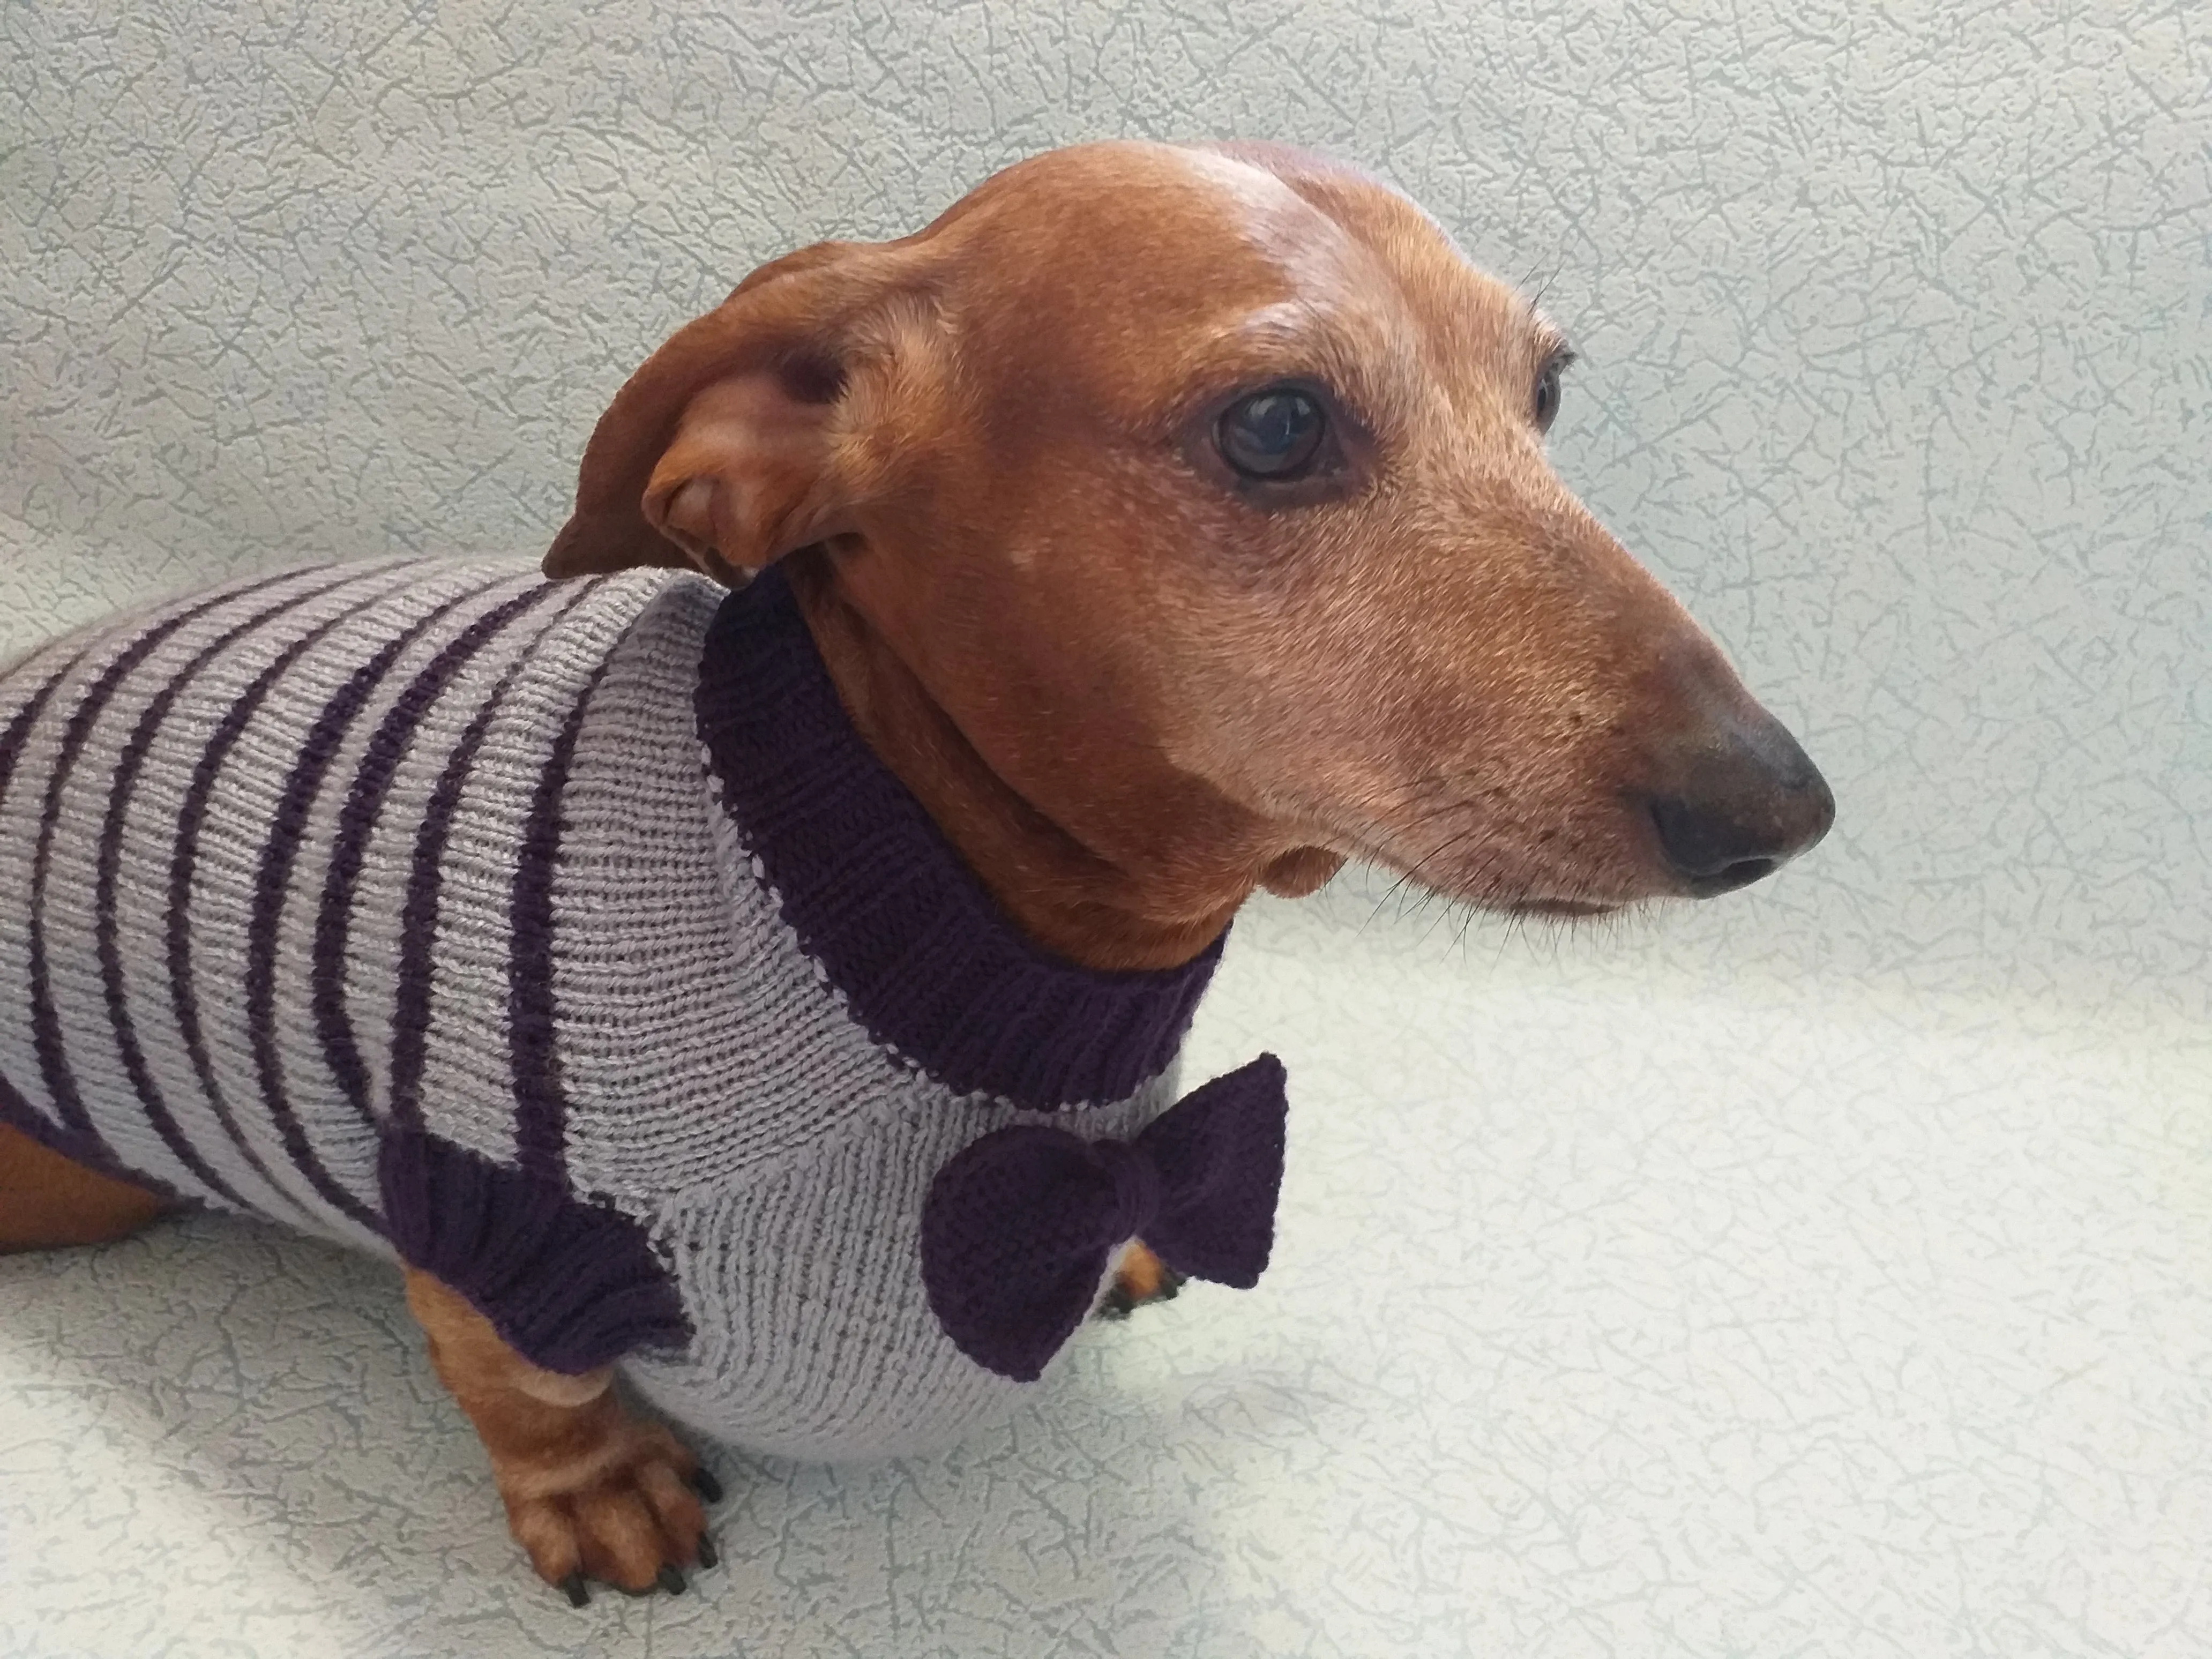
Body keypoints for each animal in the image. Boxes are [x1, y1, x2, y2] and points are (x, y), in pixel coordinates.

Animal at [0, 140, 1831, 1601]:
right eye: (1275, 425)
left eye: (1544, 393)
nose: (1784, 806)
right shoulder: (474, 1207)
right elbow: (523, 1382)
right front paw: (598, 1491)